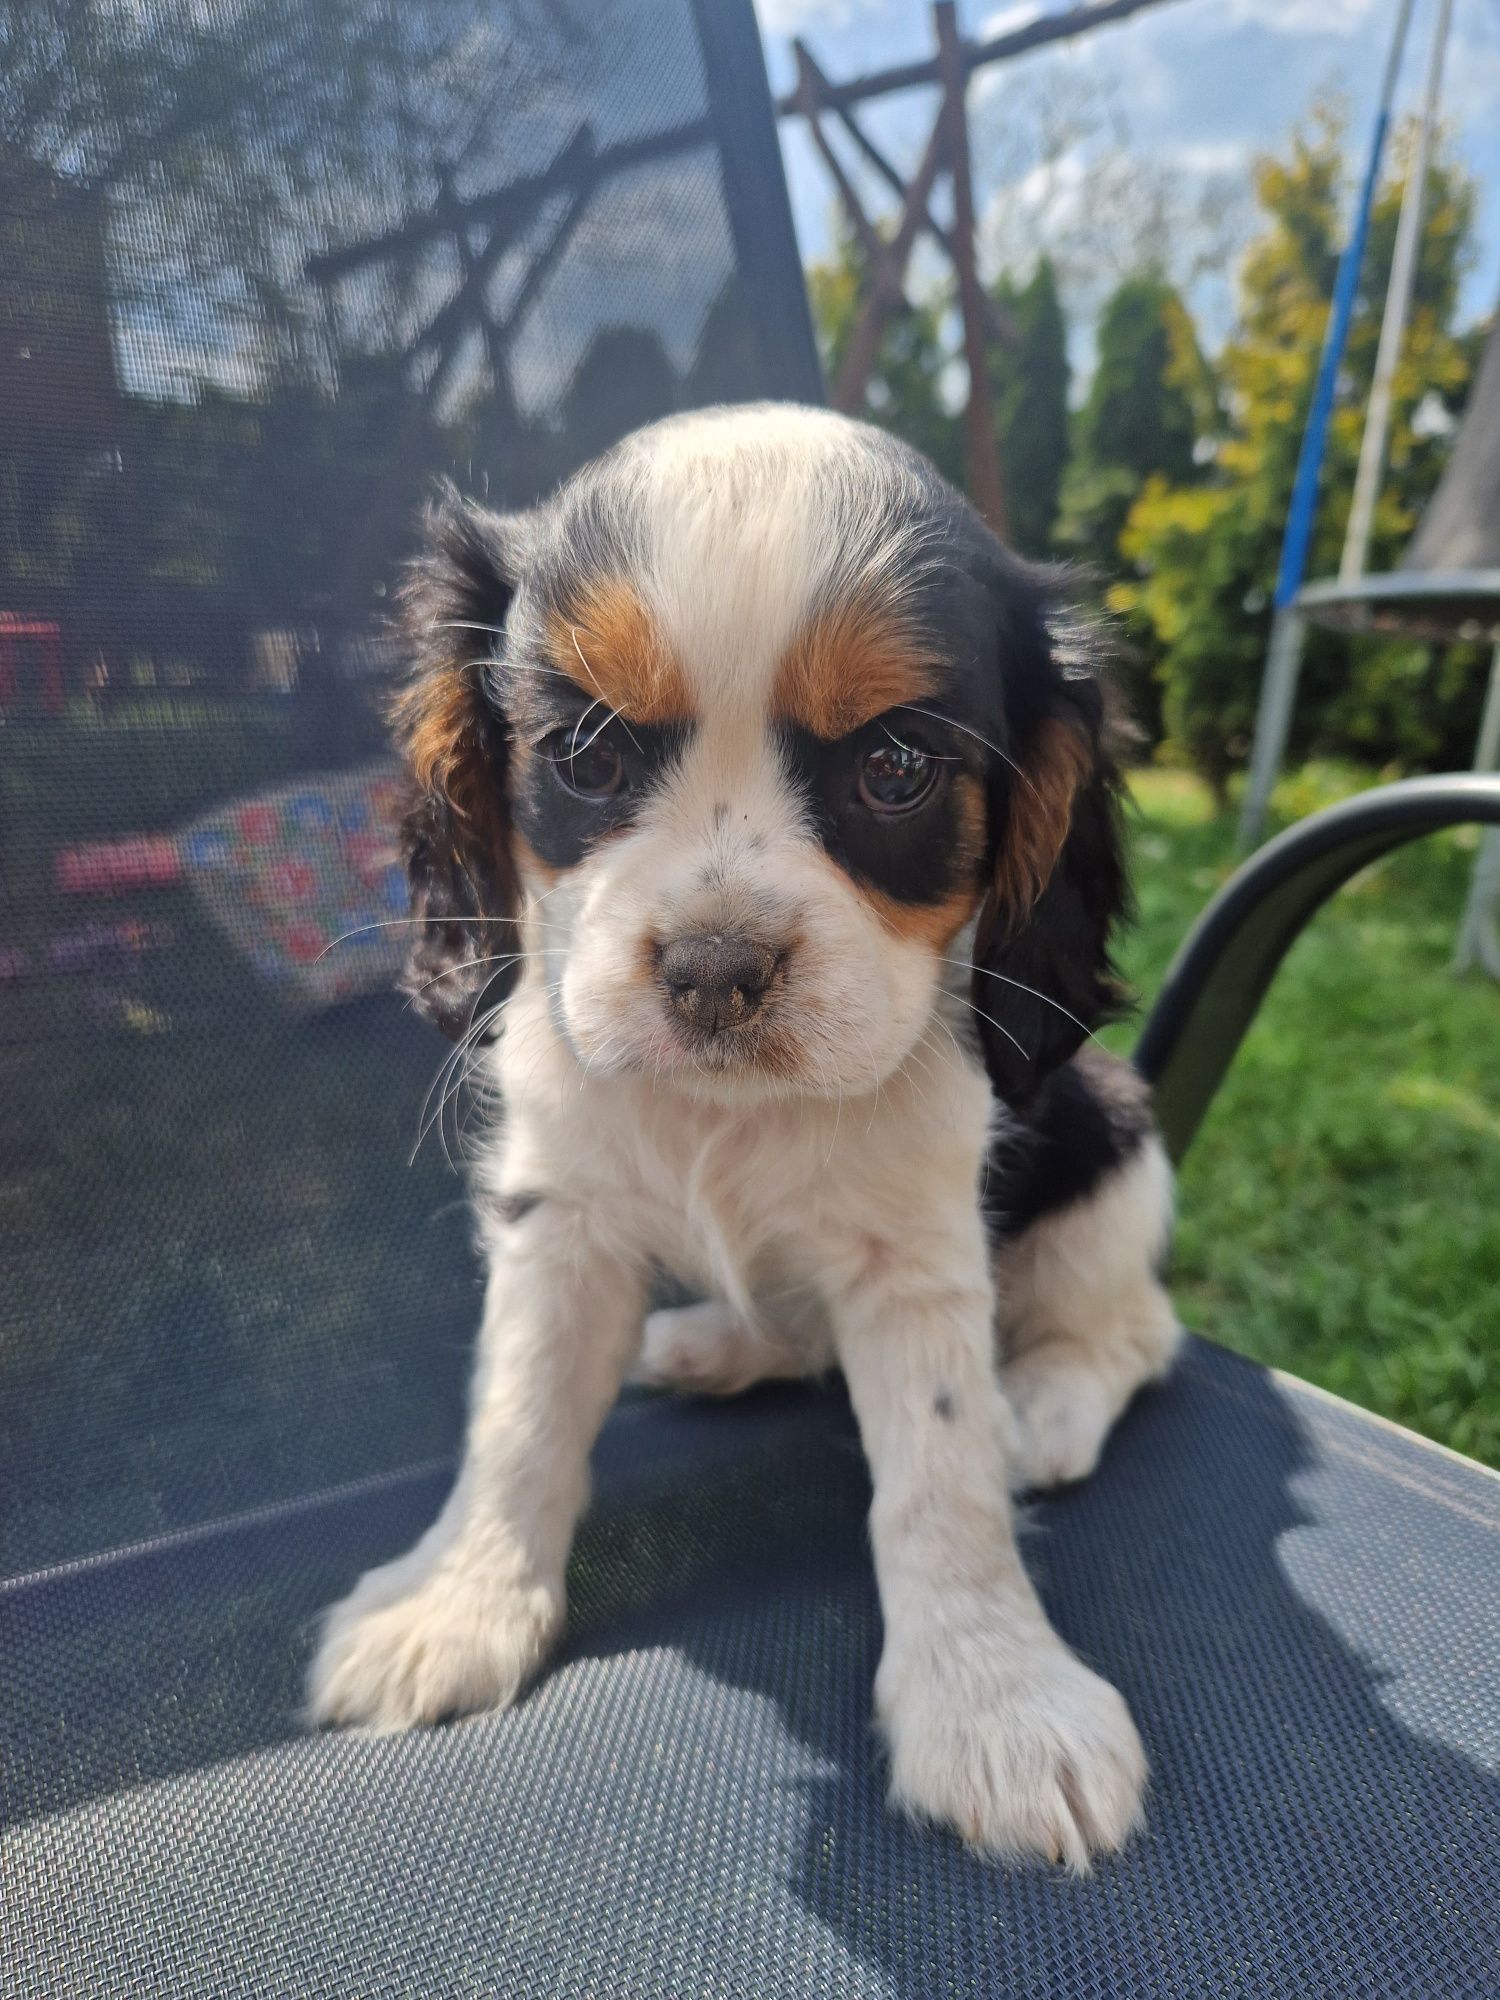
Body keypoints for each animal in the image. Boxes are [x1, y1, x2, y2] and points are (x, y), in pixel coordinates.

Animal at [306, 406, 1184, 1872]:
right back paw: (712, 1345)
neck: (732, 1108)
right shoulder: (560, 1219)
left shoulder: (919, 1252)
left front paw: (997, 1700)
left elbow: (940, 1476)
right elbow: (521, 1413)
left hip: (1113, 1137)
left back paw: (1046, 1407)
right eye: (586, 753)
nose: (715, 969)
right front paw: (459, 1601)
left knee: (1136, 1332)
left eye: (894, 766)